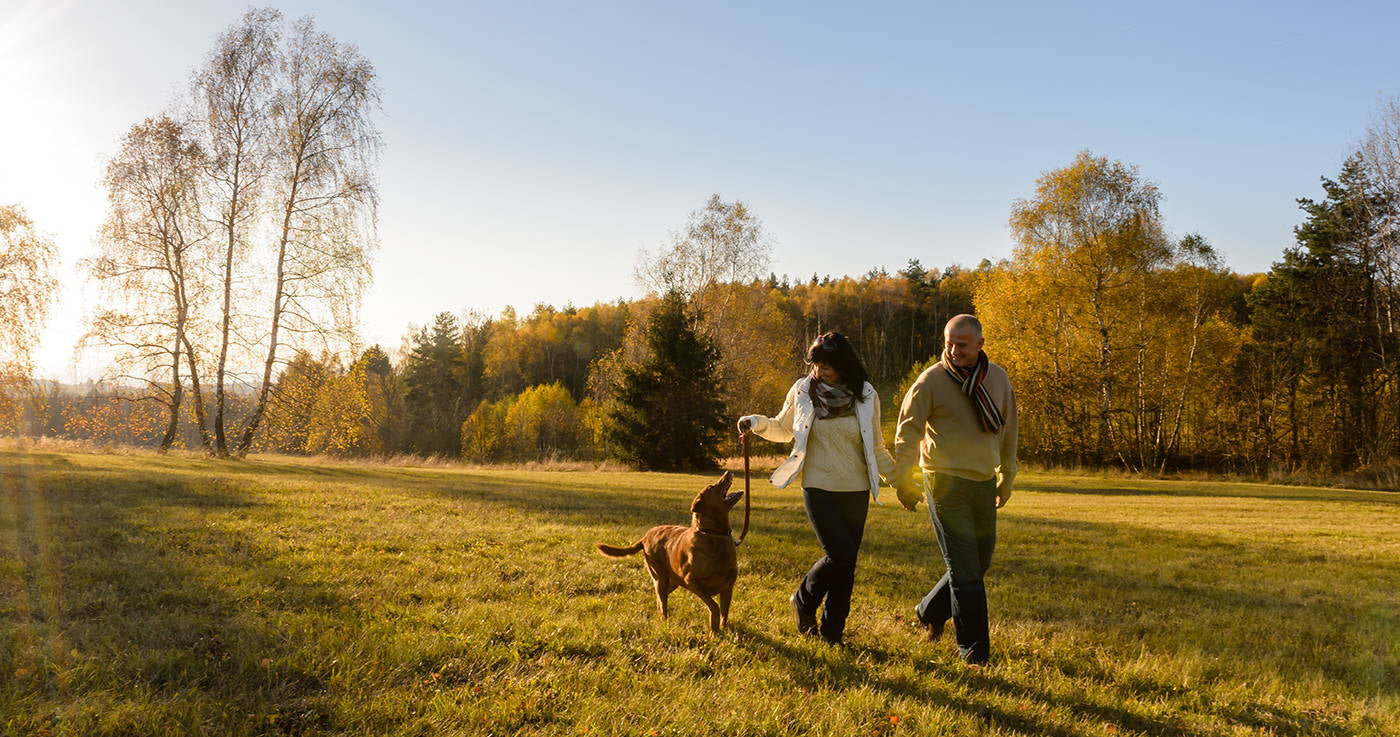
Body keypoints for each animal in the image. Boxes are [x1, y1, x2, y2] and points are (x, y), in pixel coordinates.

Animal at [593, 470, 744, 633]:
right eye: (712, 486)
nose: (727, 472)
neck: (713, 534)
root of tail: (645, 537)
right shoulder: (691, 581)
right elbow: (714, 606)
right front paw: (714, 628)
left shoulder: (728, 587)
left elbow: (725, 612)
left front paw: (722, 629)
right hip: (661, 578)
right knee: (662, 602)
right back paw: (664, 622)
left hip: (671, 581)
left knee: (660, 600)